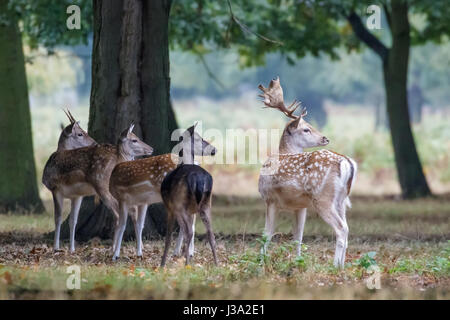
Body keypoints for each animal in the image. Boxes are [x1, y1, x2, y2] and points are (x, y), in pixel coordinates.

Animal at [43, 122, 154, 252]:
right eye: (80, 133)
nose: (151, 149)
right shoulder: (76, 195)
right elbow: (72, 220)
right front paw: (71, 249)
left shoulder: (55, 188)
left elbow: (57, 218)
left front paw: (56, 248)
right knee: (131, 211)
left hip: (102, 185)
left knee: (118, 214)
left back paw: (114, 248)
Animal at [258, 77, 356, 268]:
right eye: (306, 129)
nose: (325, 138)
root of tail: (346, 163)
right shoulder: (300, 206)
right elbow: (298, 236)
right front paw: (297, 262)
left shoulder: (270, 198)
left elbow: (267, 235)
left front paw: (260, 262)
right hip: (340, 200)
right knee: (347, 228)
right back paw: (342, 265)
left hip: (323, 198)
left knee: (341, 229)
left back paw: (335, 266)